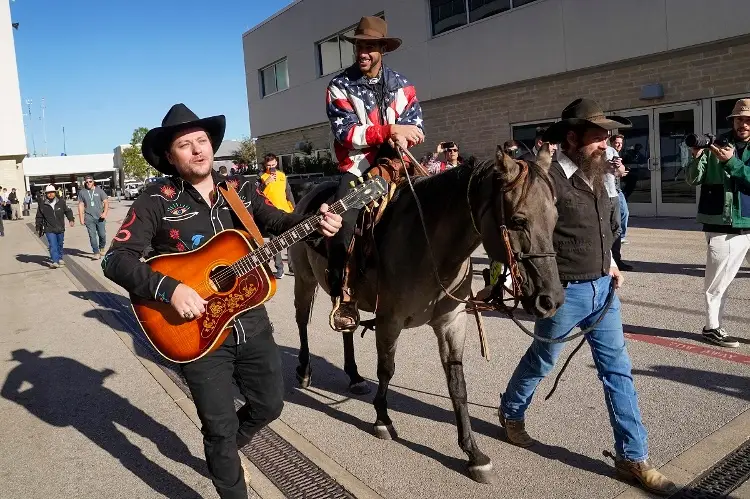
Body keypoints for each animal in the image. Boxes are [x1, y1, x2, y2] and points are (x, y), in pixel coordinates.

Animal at [288, 146, 564, 484]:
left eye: (555, 219)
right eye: (518, 220)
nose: (551, 300)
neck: (428, 243)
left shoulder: (451, 323)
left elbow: (457, 384)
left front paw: (473, 453)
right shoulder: (389, 321)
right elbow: (386, 370)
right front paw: (382, 420)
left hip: (341, 297)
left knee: (347, 328)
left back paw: (353, 376)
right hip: (304, 279)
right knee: (302, 322)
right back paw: (304, 370)